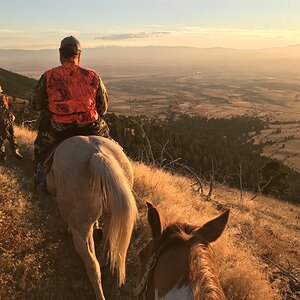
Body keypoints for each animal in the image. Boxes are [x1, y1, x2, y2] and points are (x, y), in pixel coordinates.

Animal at [45, 136, 137, 300]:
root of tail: (99, 154)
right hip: (110, 212)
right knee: (107, 239)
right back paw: (104, 258)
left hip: (80, 229)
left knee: (92, 266)